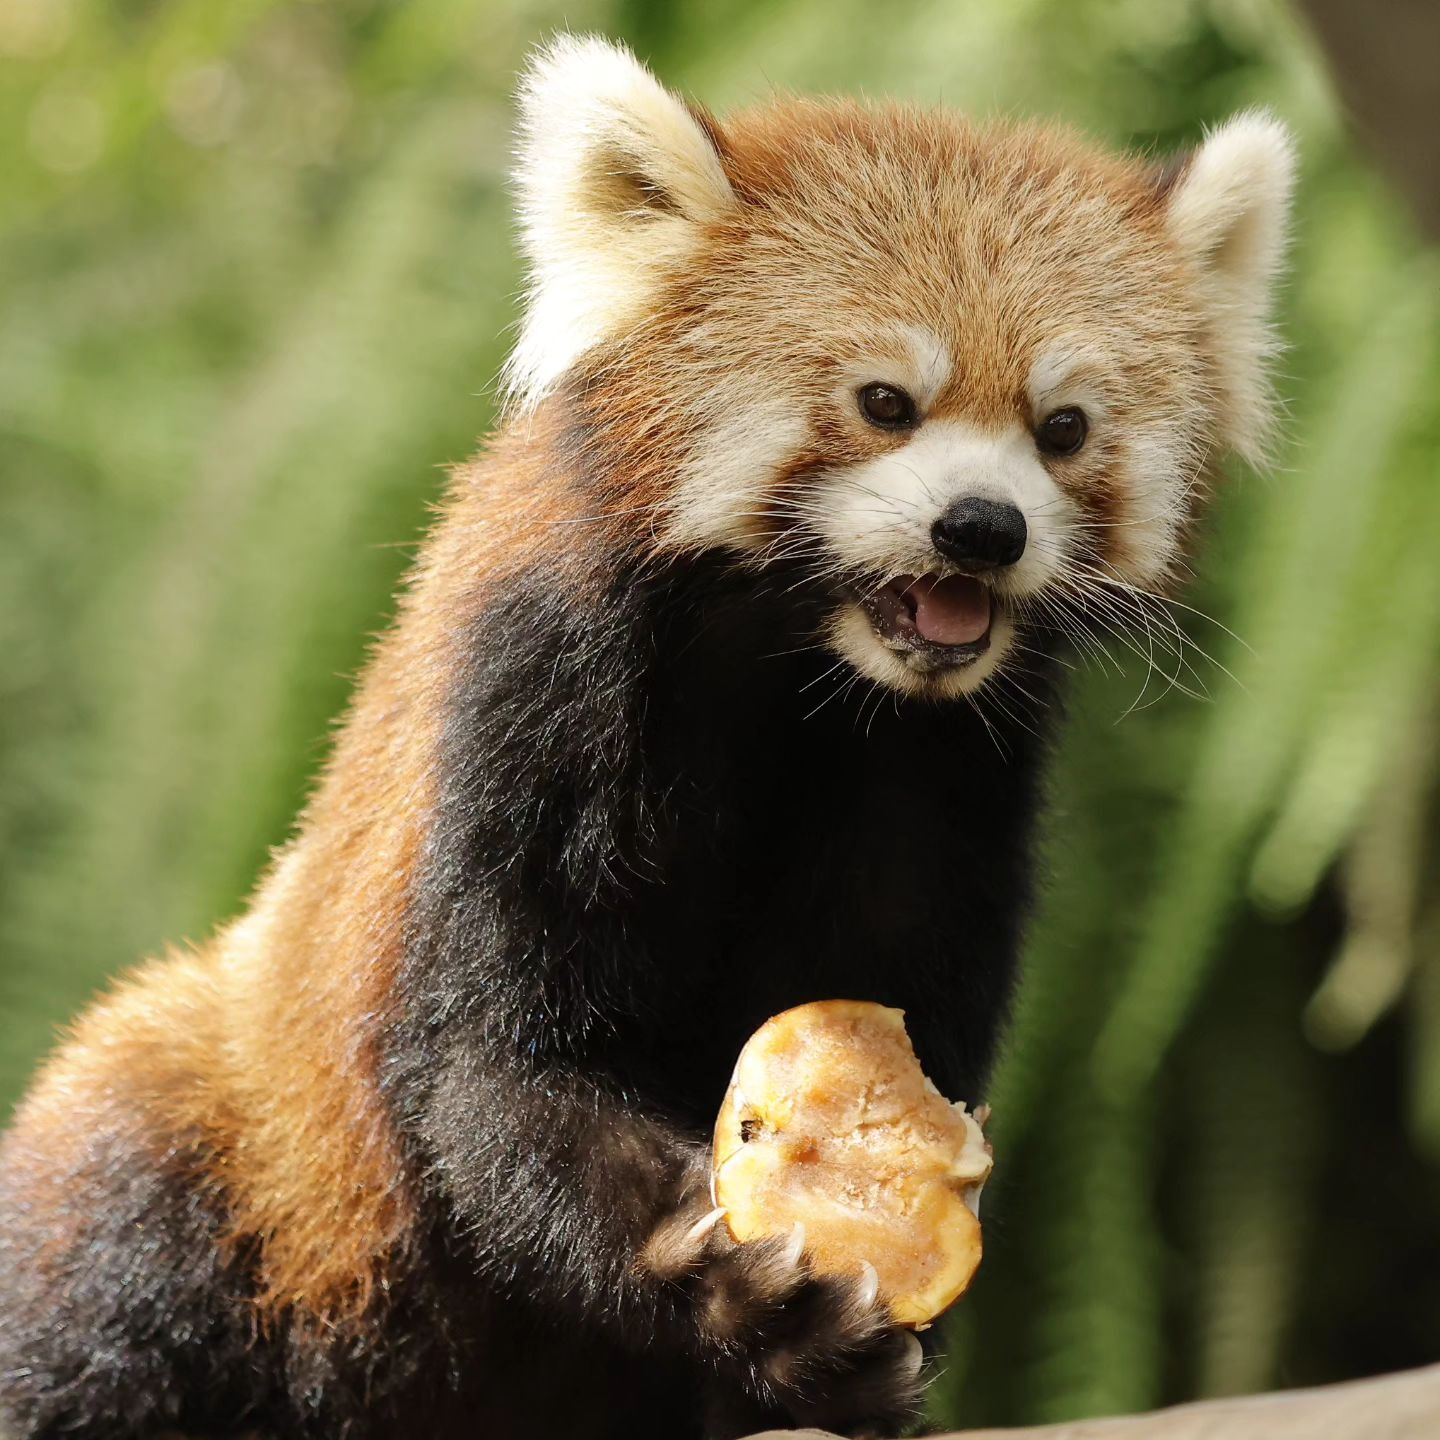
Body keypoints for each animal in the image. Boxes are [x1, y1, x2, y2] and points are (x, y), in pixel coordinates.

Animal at [0, 33, 1296, 1440]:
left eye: (1063, 430)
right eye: (884, 402)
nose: (981, 527)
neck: (803, 670)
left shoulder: (943, 771)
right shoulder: (538, 691)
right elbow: (489, 1067)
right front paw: (742, 1293)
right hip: (208, 1172)